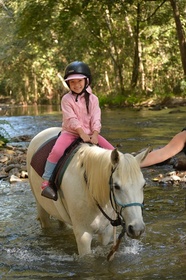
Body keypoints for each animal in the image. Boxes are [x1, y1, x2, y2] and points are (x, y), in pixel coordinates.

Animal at [26, 127, 148, 256]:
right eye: (116, 186)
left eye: (143, 185)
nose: (137, 229)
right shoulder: (83, 235)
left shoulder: (106, 231)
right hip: (41, 207)